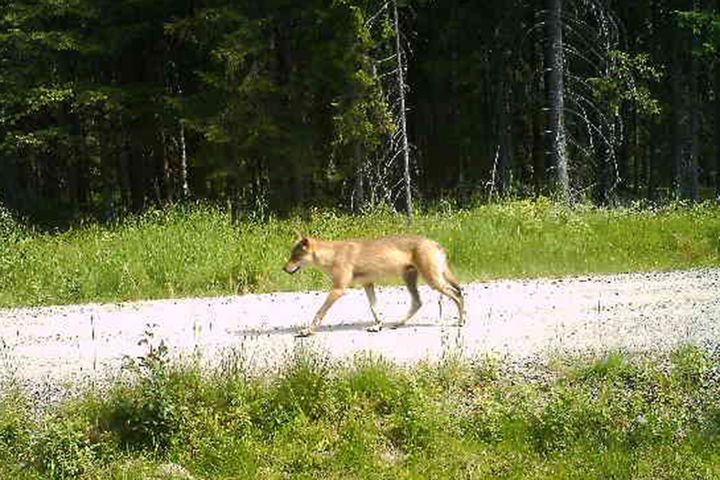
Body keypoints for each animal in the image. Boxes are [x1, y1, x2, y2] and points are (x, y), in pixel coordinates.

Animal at [282, 234, 466, 336]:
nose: (284, 269)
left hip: (433, 281)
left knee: (458, 294)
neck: (332, 255)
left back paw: (461, 321)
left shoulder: (338, 290)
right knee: (418, 302)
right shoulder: (368, 285)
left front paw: (307, 331)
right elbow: (375, 309)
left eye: (295, 256)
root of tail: (435, 243)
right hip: (412, 280)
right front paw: (378, 326)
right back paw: (398, 323)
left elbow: (319, 313)